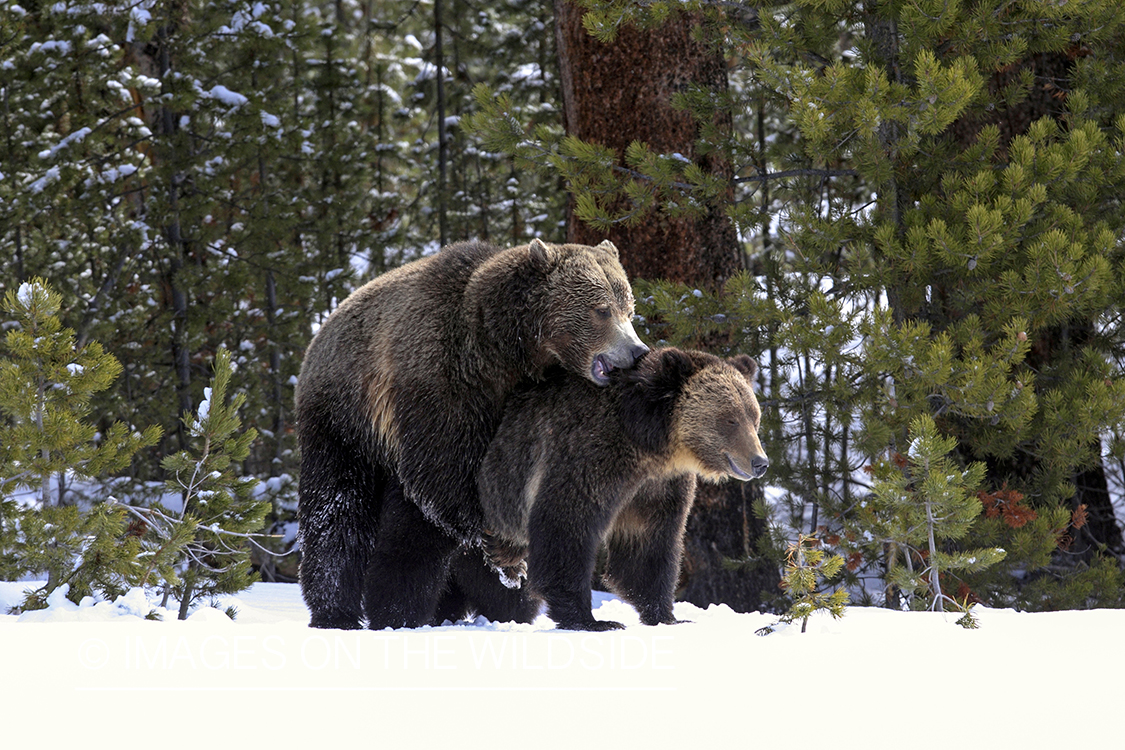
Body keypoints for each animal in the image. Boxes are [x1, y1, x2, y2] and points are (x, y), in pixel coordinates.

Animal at [297, 237, 652, 629]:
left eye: (629, 307)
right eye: (601, 309)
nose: (637, 351)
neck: (505, 353)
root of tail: (326, 325)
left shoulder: (522, 404)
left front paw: (510, 568)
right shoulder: (443, 383)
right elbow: (443, 475)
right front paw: (503, 553)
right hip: (345, 422)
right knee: (340, 514)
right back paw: (346, 611)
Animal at [452, 348, 769, 629]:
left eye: (754, 416)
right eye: (729, 418)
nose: (760, 462)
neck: (648, 441)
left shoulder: (655, 486)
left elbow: (647, 546)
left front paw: (667, 615)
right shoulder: (591, 454)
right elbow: (565, 524)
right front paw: (593, 620)